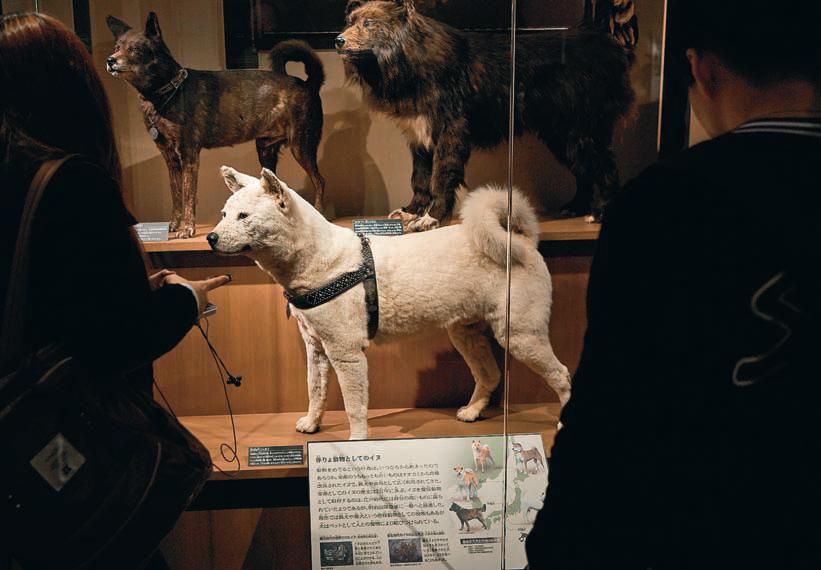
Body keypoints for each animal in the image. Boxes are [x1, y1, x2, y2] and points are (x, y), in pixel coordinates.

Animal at [106, 12, 326, 238]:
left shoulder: (189, 155)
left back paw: (319, 212)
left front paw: (187, 229)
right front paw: (173, 226)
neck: (168, 90)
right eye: (117, 47)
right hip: (266, 150)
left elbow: (188, 196)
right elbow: (176, 195)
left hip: (302, 146)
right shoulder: (170, 158)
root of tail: (308, 84)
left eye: (135, 49)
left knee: (320, 181)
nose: (110, 60)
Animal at [207, 166, 571, 439]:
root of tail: (520, 239)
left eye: (243, 216)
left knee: (563, 376)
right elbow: (315, 390)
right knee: (491, 375)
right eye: (224, 214)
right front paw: (312, 424)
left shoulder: (347, 353)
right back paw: (472, 412)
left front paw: (357, 441)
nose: (211, 237)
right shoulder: (316, 348)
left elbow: (354, 405)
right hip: (466, 333)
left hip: (520, 336)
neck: (319, 259)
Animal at [337, 0, 636, 231]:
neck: (412, 58)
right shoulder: (418, 135)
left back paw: (600, 213)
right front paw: (410, 211)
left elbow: (440, 177)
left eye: (369, 23)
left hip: (583, 130)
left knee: (605, 167)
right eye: (350, 21)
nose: (338, 40)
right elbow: (419, 178)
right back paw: (574, 208)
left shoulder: (450, 131)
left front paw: (431, 219)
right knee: (584, 170)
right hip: (560, 134)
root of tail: (610, 50)